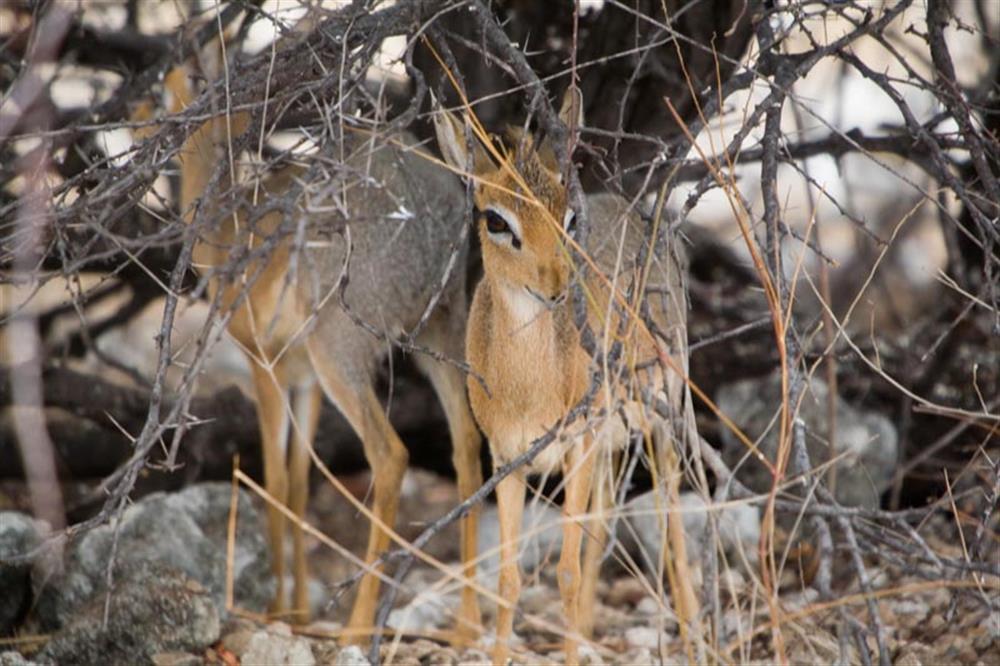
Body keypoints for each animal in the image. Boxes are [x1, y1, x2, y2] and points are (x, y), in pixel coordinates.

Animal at [164, 63, 484, 640]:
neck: (225, 228)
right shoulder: (304, 379)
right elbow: (296, 481)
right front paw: (297, 610)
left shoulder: (263, 367)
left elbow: (273, 480)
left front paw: (276, 609)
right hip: (438, 333)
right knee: (467, 443)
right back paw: (467, 624)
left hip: (343, 355)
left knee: (390, 455)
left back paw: (356, 627)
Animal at [434, 94, 692, 664]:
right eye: (495, 219)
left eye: (569, 215)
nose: (555, 284)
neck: (530, 388)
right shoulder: (506, 459)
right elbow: (508, 579)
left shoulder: (577, 444)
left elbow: (567, 574)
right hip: (607, 444)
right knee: (605, 518)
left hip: (661, 419)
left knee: (670, 512)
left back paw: (693, 628)